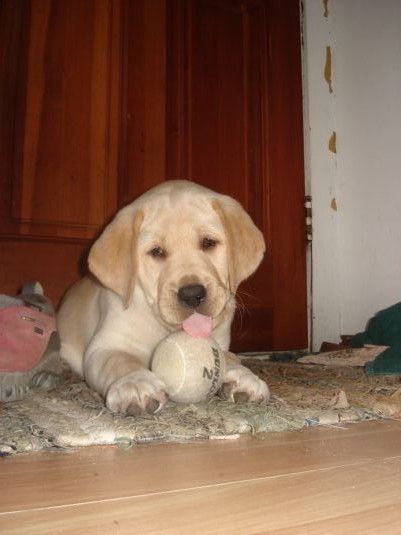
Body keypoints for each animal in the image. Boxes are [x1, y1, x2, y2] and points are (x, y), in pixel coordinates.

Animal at [57, 180, 268, 414]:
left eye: (208, 243)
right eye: (156, 252)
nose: (192, 295)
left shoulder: (219, 342)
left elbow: (229, 357)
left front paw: (243, 376)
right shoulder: (106, 344)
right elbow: (120, 361)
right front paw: (135, 383)